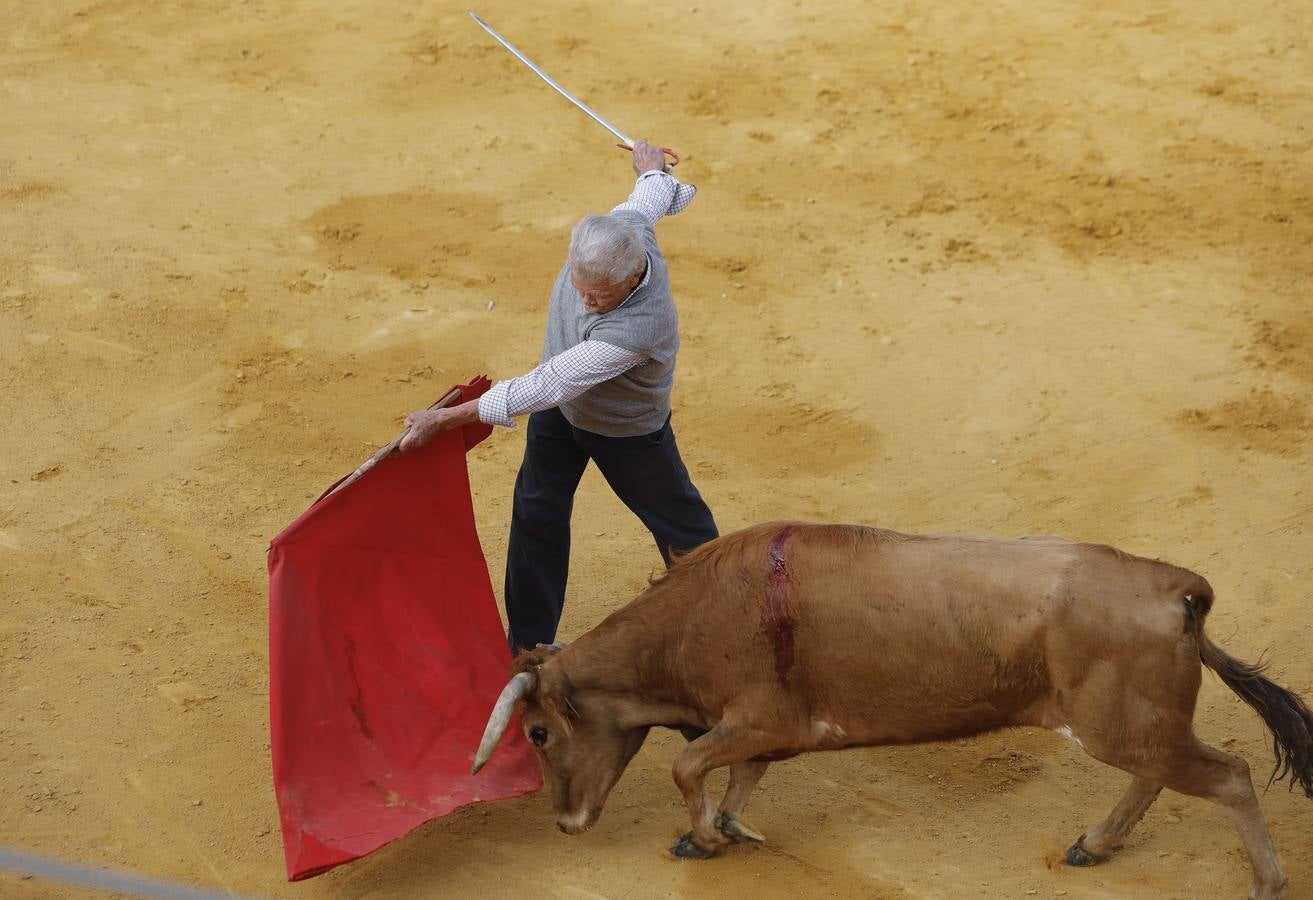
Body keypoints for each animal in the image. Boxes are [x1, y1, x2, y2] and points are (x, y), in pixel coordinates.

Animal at [472, 522, 1313, 893]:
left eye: (538, 732)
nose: (566, 823)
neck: (689, 620)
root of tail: (1172, 585)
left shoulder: (762, 719)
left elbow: (688, 763)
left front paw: (708, 835)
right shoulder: (765, 734)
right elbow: (736, 775)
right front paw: (722, 829)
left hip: (1121, 726)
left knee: (1228, 775)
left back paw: (1264, 884)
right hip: (1133, 727)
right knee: (1158, 777)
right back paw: (1093, 844)